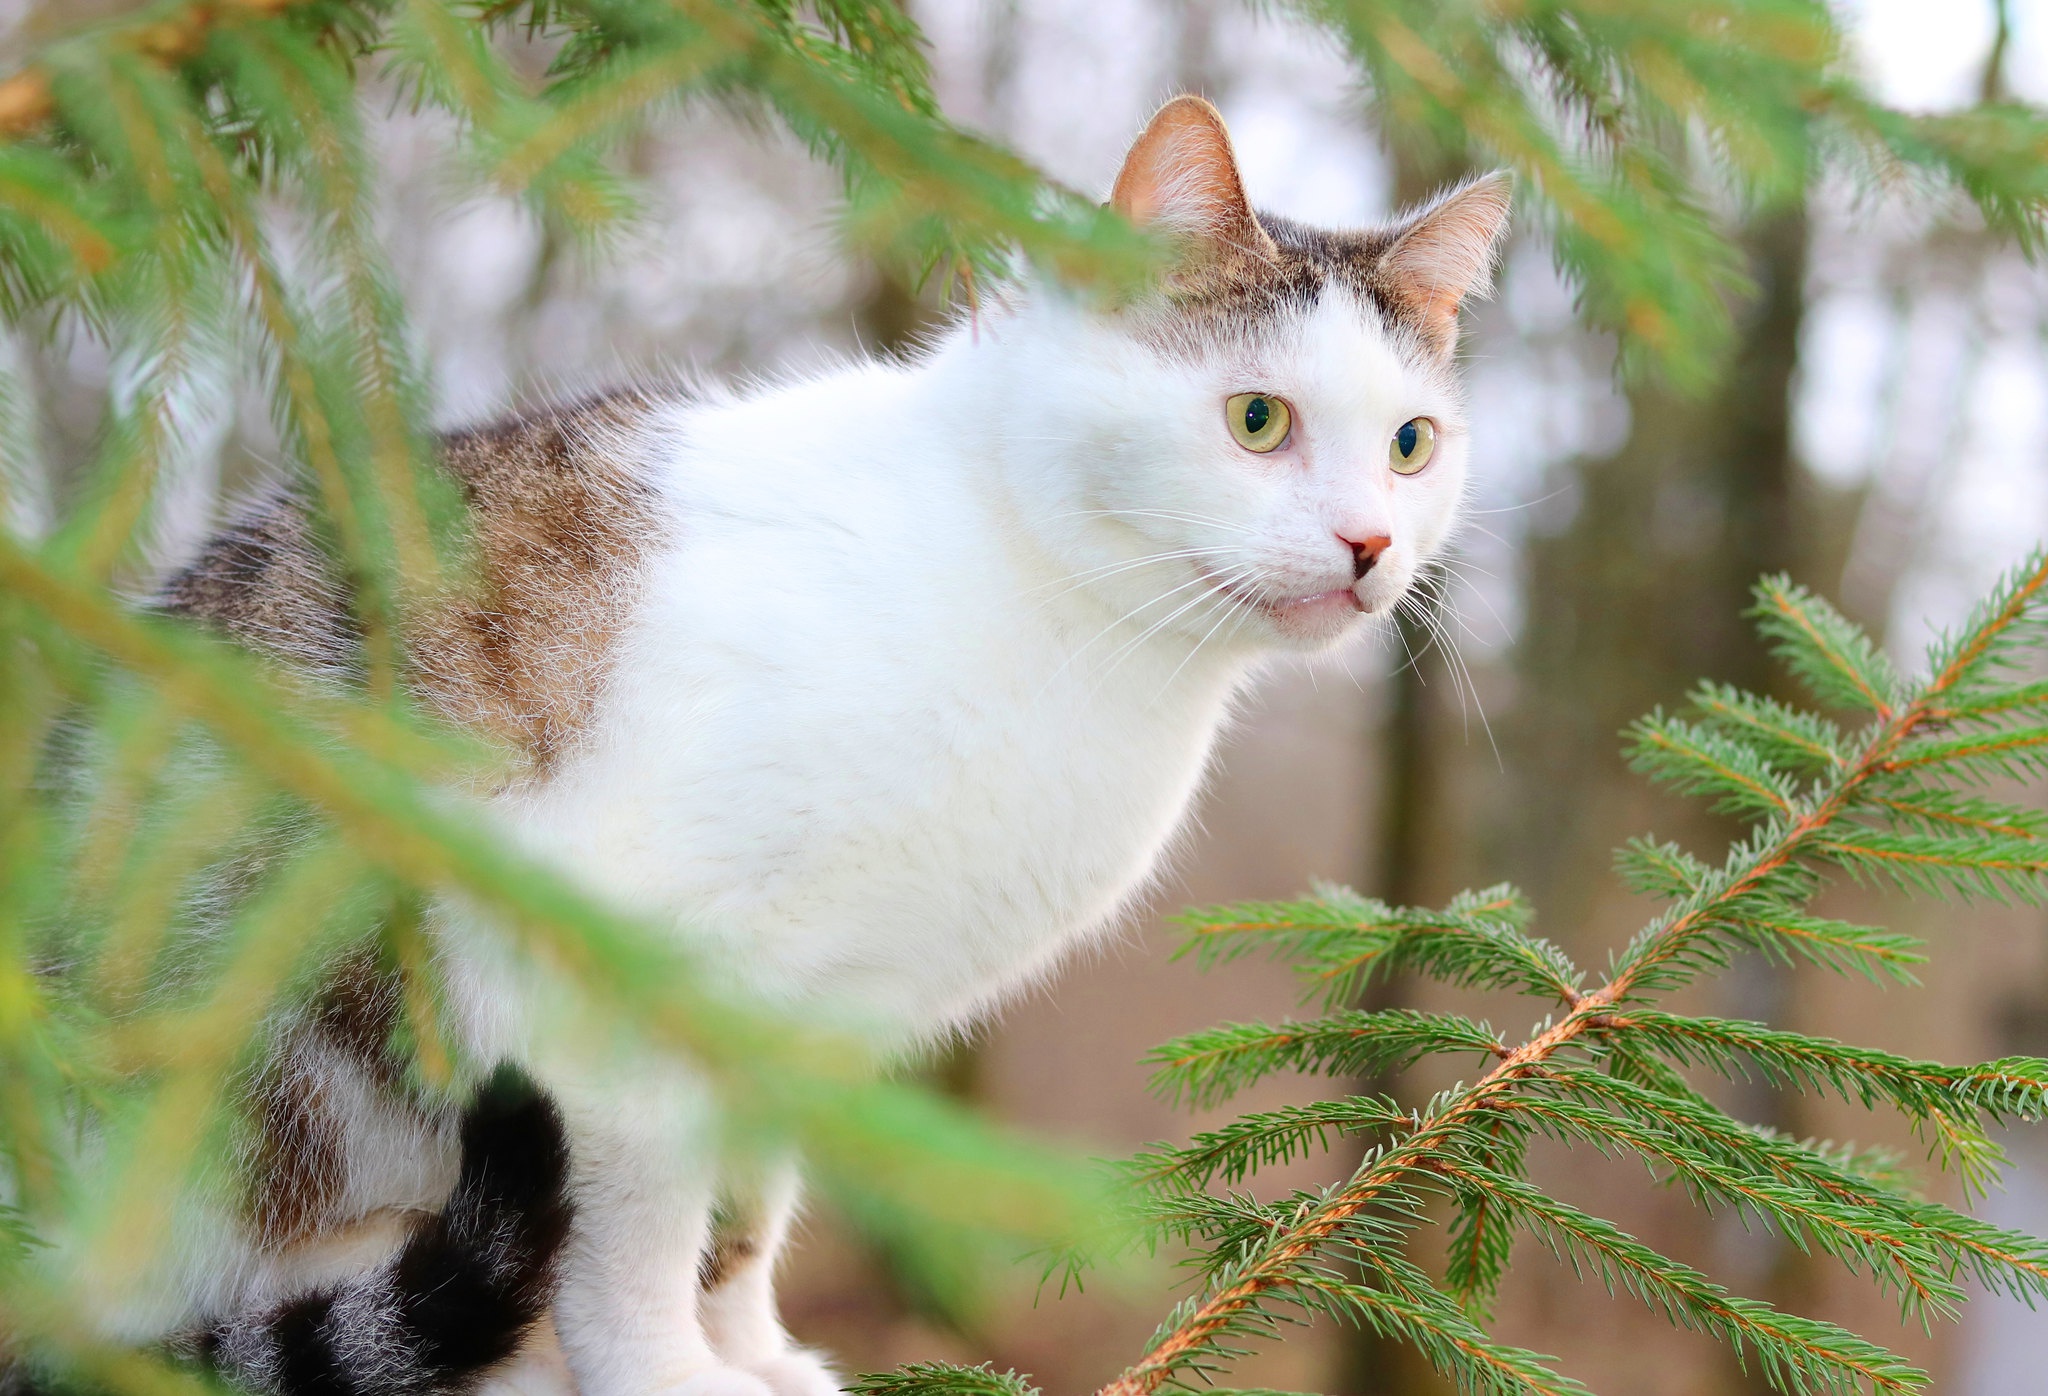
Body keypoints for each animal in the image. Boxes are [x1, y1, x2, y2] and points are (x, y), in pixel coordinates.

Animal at [128, 95, 1515, 1391]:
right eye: (1256, 419)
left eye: (1410, 445)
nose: (1367, 546)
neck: (1063, 618)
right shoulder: (617, 967)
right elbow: (632, 1230)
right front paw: (667, 1373)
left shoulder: (806, 1020)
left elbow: (747, 1201)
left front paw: (748, 1348)